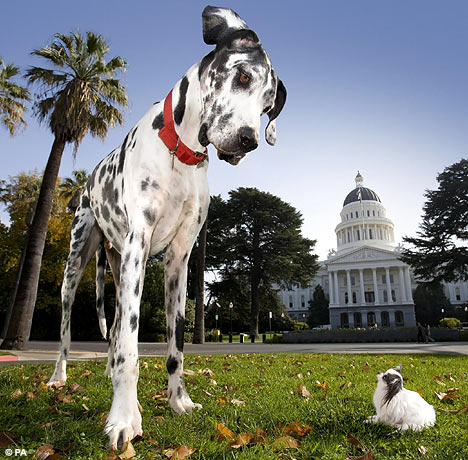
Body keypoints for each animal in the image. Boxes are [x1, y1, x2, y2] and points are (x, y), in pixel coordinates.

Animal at [49, 3, 288, 450]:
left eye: (268, 106)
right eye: (242, 76)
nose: (248, 140)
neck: (182, 153)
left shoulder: (179, 259)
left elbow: (175, 344)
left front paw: (179, 402)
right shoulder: (139, 246)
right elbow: (129, 346)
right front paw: (123, 418)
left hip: (117, 265)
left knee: (113, 330)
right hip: (77, 265)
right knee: (70, 328)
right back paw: (58, 375)